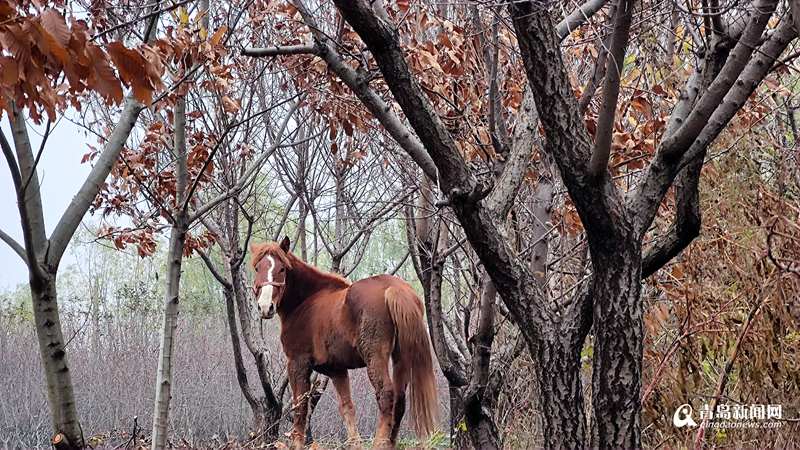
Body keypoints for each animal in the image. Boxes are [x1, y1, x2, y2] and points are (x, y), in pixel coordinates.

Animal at [250, 237, 438, 448]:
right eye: (257, 268)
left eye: (282, 268)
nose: (265, 307)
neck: (306, 302)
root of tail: (395, 289)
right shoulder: (337, 370)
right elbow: (347, 407)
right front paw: (355, 444)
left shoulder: (298, 363)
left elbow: (300, 406)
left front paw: (297, 444)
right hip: (401, 358)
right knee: (399, 399)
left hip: (375, 357)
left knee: (386, 394)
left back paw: (379, 443)